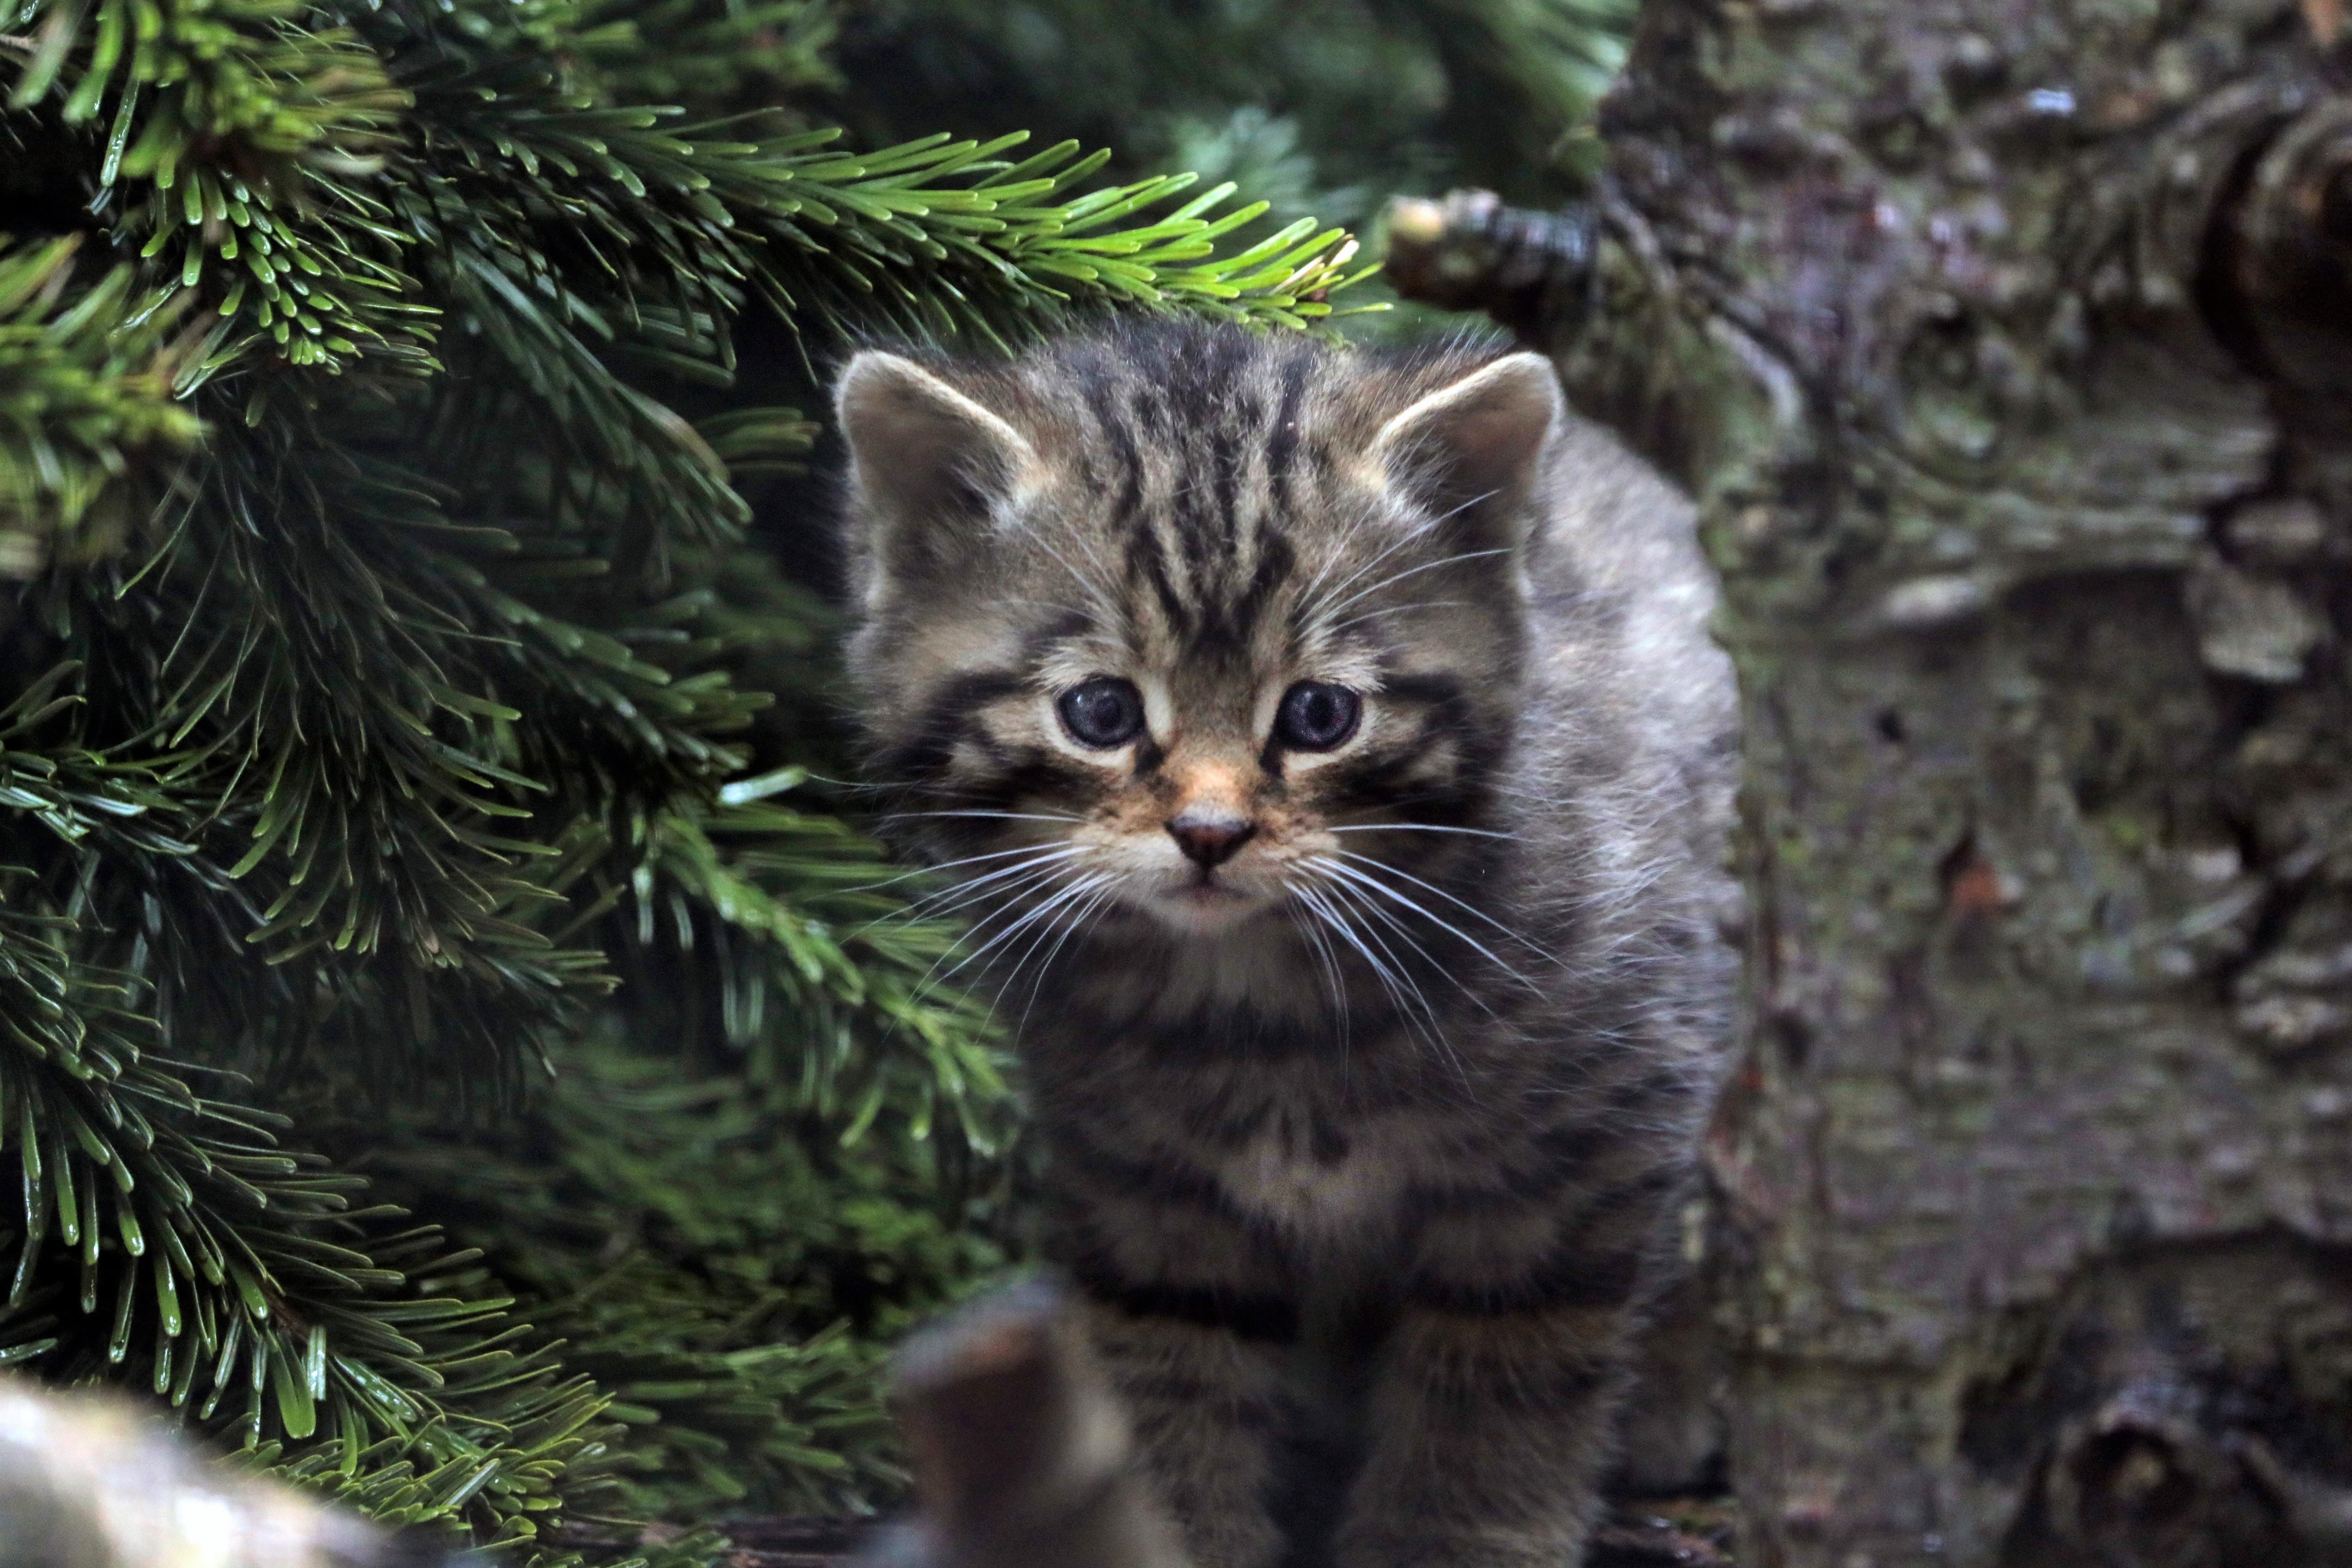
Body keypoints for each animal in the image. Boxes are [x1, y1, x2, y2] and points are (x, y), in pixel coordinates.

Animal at [837, 322, 1740, 1568]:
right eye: (1099, 712)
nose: (1210, 832)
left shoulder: (1595, 1126)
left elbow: (1501, 1365)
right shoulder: (1140, 1185)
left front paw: (1448, 1535)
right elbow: (1169, 1361)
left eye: (1319, 716)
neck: (1263, 1010)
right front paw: (1171, 1527)